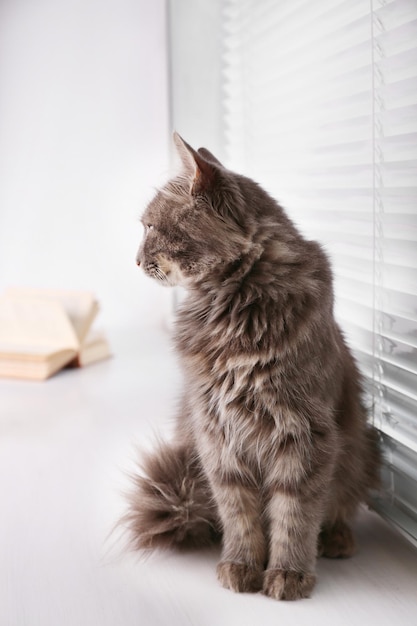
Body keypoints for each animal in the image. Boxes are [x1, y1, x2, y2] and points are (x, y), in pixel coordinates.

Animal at [126, 133, 380, 600]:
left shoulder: (303, 432)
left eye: (150, 227)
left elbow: (294, 514)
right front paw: (242, 565)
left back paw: (338, 539)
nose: (136, 261)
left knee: (341, 505)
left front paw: (288, 573)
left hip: (362, 447)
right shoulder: (216, 432)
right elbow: (239, 512)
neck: (233, 308)